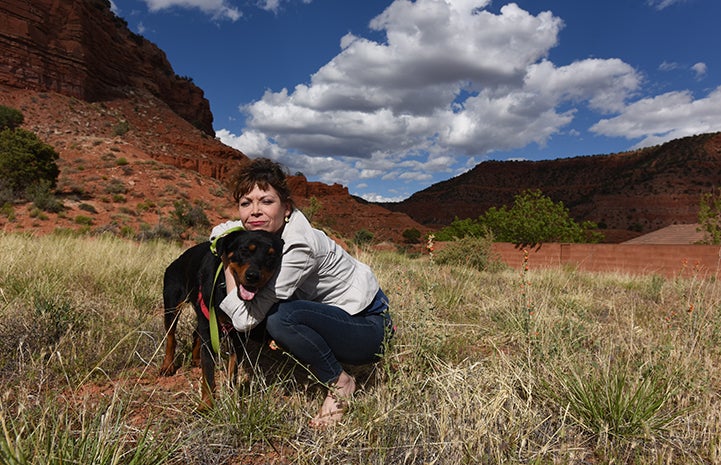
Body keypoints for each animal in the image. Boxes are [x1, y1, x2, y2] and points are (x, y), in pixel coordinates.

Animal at [159, 228, 282, 410]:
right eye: (244, 250)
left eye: (271, 256)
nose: (253, 276)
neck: (226, 288)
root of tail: (178, 259)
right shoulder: (211, 329)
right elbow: (209, 374)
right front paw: (206, 405)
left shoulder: (237, 337)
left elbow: (233, 372)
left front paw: (232, 399)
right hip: (172, 304)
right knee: (171, 337)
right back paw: (167, 366)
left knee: (196, 334)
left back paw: (196, 359)